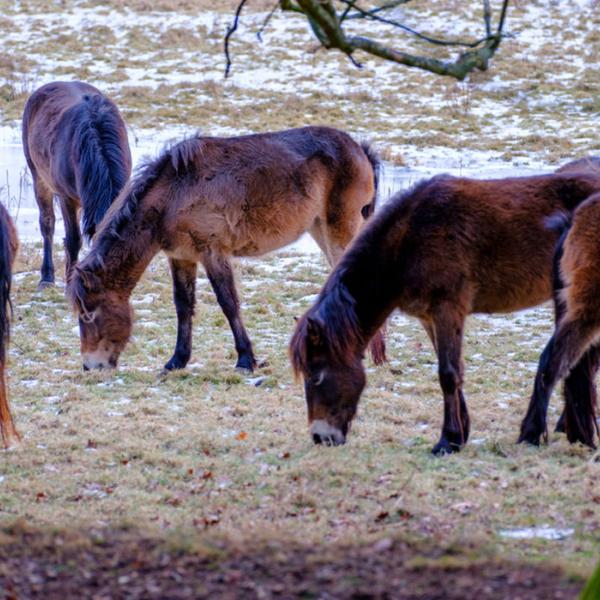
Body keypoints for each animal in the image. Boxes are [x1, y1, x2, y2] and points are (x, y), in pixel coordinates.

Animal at [68, 125, 382, 370]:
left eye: (87, 314)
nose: (90, 365)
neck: (174, 192)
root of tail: (359, 149)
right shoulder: (181, 257)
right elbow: (183, 305)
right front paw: (177, 360)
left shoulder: (213, 252)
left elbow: (228, 303)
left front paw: (245, 359)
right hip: (320, 229)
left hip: (339, 230)